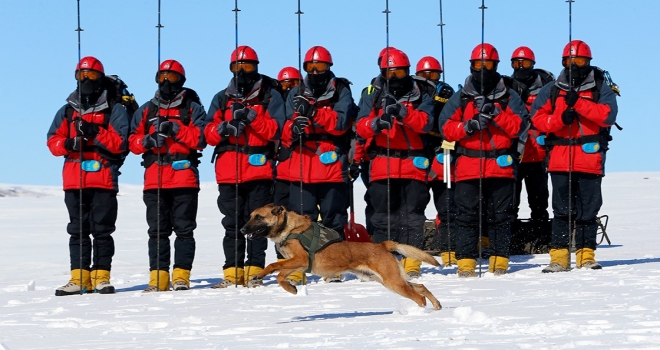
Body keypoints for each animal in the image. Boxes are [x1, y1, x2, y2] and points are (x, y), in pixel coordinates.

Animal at [240, 204, 440, 310]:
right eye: (250, 216)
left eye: (258, 217)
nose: (241, 229)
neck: (289, 228)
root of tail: (382, 245)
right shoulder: (297, 264)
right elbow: (281, 276)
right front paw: (291, 288)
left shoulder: (300, 260)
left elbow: (273, 266)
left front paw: (258, 275)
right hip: (387, 280)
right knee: (420, 287)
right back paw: (437, 305)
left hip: (393, 282)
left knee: (419, 297)